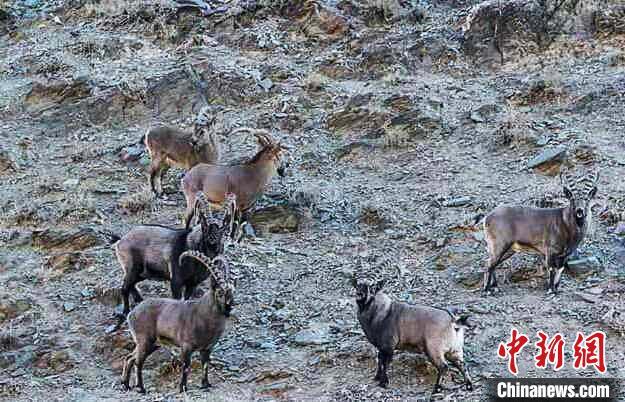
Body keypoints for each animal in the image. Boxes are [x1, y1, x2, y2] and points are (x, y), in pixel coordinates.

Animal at [111, 192, 234, 320]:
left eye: (222, 229)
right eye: (205, 227)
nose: (212, 240)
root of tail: (121, 241)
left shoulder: (192, 284)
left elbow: (186, 298)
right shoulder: (176, 281)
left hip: (142, 273)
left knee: (131, 285)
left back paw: (139, 300)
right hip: (132, 269)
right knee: (124, 288)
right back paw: (125, 312)